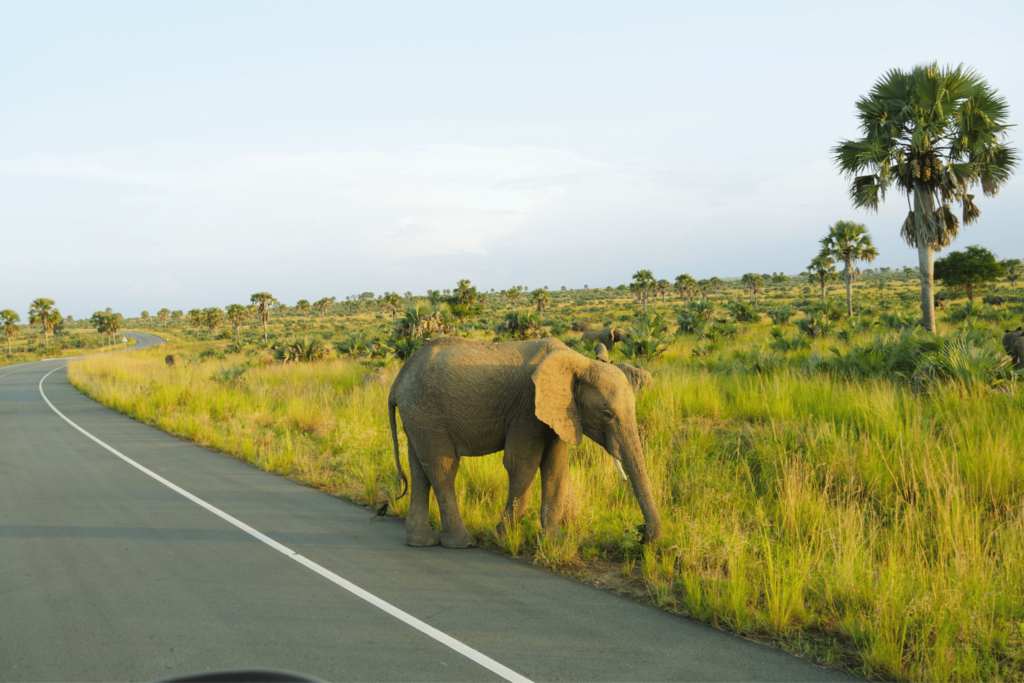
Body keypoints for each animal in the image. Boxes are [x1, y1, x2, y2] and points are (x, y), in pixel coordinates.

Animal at [385, 335, 663, 548]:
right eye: (606, 414)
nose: (639, 533)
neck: (578, 362)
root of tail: (397, 382)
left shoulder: (561, 412)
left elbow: (556, 467)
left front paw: (554, 542)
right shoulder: (527, 407)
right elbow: (522, 464)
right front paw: (503, 537)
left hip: (418, 416)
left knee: (420, 471)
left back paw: (421, 543)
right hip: (427, 413)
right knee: (443, 468)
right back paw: (463, 543)